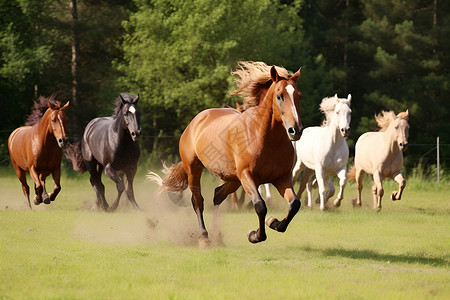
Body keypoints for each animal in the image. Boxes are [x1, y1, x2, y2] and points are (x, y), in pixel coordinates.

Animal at [149, 61, 304, 244]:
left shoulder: (282, 178)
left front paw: (274, 222)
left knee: (217, 195)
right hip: (194, 169)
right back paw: (204, 236)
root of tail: (195, 121)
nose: (296, 130)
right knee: (197, 201)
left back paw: (217, 235)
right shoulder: (247, 176)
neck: (266, 138)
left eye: (299, 95)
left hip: (233, 178)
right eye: (279, 96)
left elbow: (294, 204)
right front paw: (255, 235)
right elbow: (260, 205)